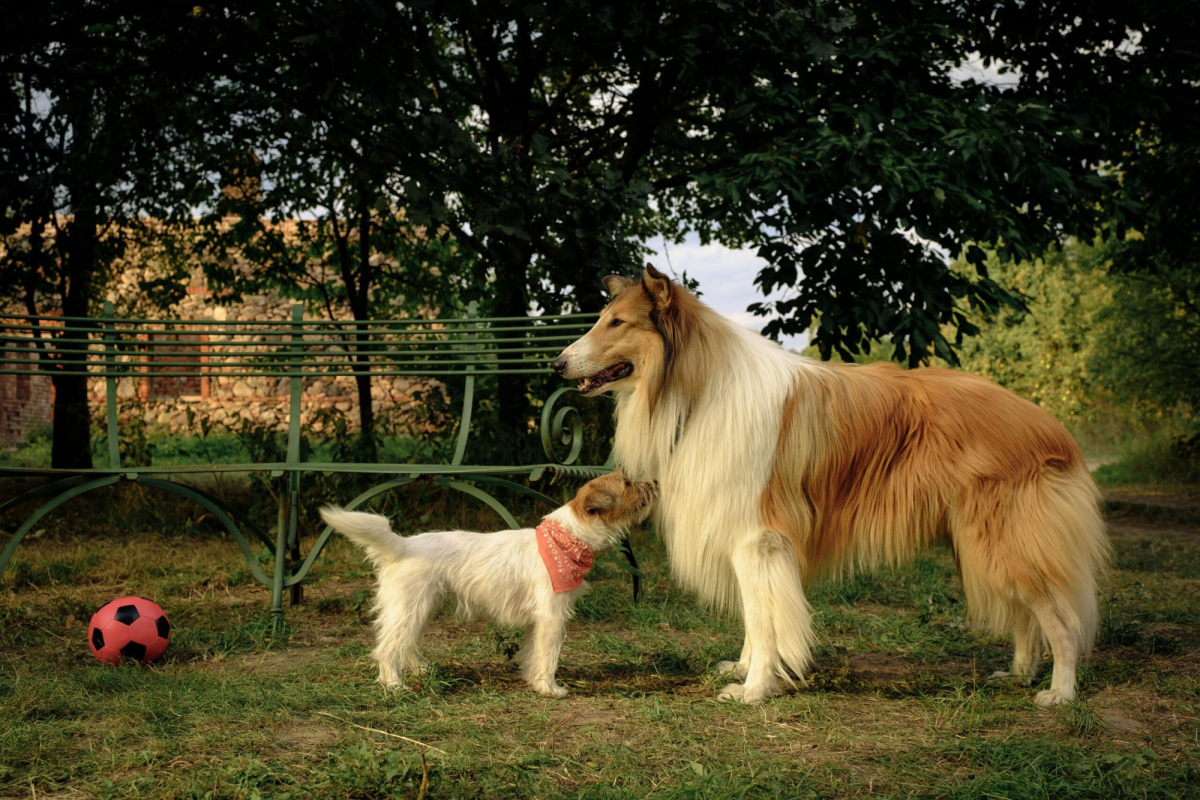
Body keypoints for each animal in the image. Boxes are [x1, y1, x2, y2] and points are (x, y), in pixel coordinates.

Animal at [319, 472, 657, 695]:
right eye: (627, 484)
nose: (654, 483)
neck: (567, 539)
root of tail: (402, 544)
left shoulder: (538, 620)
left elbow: (532, 652)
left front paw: (534, 682)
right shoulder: (552, 617)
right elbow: (548, 655)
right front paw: (550, 689)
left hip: (418, 609)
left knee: (406, 643)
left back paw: (421, 670)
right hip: (409, 609)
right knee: (387, 648)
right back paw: (394, 685)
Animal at [549, 263, 1104, 705]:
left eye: (617, 322)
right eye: (602, 318)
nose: (555, 363)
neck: (699, 389)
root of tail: (1049, 424)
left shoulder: (758, 538)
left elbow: (765, 619)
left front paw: (754, 690)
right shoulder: (746, 537)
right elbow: (754, 614)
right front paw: (746, 669)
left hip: (1002, 541)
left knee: (1061, 620)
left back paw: (1059, 693)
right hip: (981, 543)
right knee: (1026, 616)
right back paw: (1019, 675)